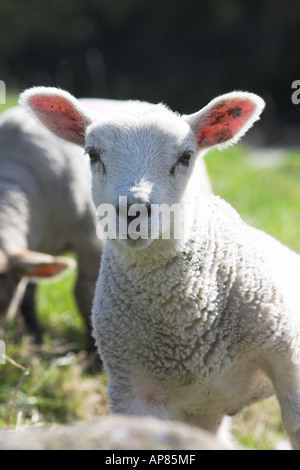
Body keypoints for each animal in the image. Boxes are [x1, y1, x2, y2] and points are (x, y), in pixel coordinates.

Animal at [19, 86, 300, 450]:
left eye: (185, 157)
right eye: (93, 154)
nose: (133, 211)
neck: (185, 322)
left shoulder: (287, 353)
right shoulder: (131, 387)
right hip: (201, 410)